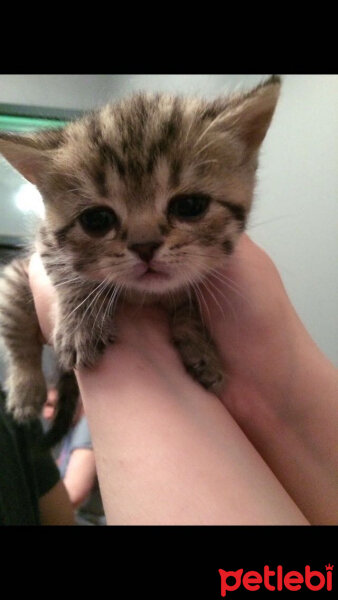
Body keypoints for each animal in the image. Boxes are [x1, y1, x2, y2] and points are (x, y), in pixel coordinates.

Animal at [0, 75, 280, 440]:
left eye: (190, 206)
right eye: (97, 220)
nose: (145, 246)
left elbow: (188, 299)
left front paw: (201, 345)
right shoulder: (45, 241)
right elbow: (71, 273)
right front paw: (81, 322)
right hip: (14, 282)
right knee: (18, 339)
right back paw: (26, 389)